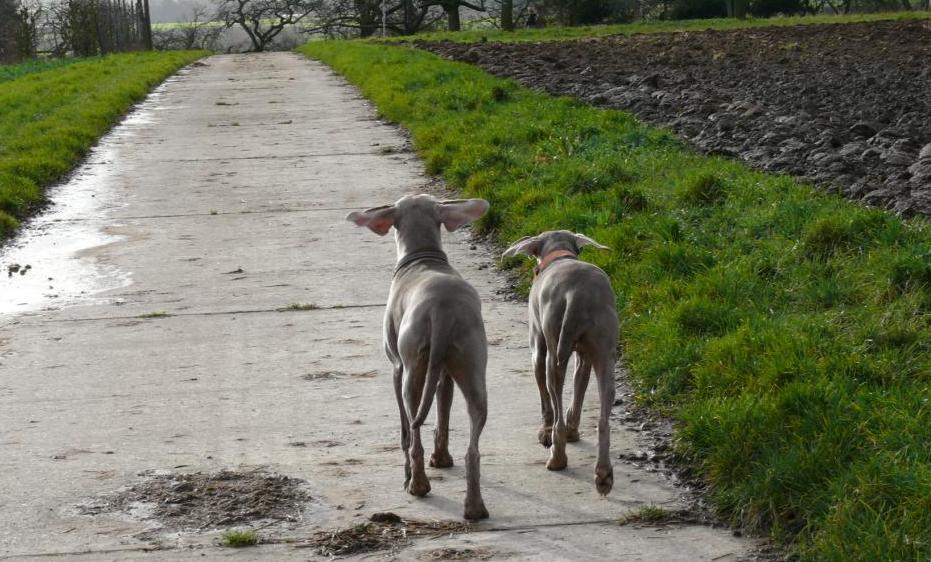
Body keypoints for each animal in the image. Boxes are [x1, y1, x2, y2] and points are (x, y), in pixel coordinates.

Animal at [348, 194, 492, 520]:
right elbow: (443, 413)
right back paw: (474, 507)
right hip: (472, 365)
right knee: (473, 449)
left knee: (412, 431)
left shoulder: (397, 368)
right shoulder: (446, 373)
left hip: (411, 373)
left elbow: (405, 429)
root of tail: (443, 309)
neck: (424, 258)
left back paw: (417, 484)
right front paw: (442, 458)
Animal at [506, 230, 616, 492]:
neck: (559, 255)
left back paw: (557, 457)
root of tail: (578, 295)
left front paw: (545, 433)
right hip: (604, 351)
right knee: (603, 418)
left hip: (554, 350)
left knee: (555, 405)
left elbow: (545, 401)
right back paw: (603, 474)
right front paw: (574, 432)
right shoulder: (584, 358)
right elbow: (579, 387)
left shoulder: (538, 345)